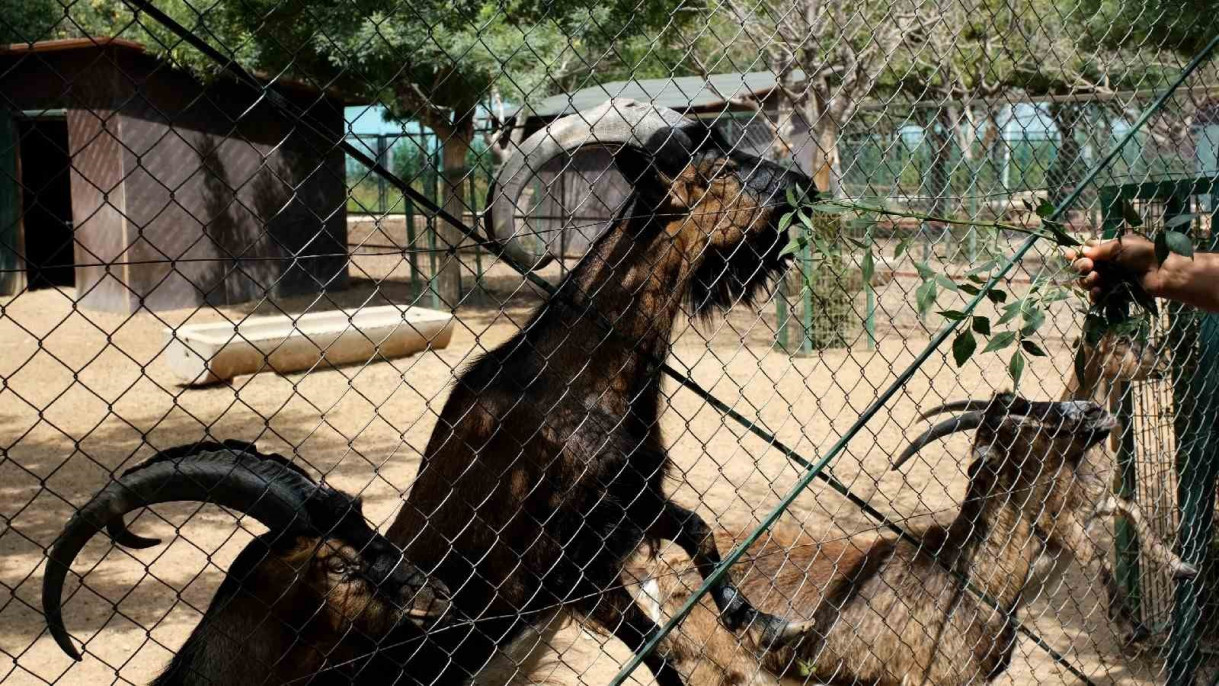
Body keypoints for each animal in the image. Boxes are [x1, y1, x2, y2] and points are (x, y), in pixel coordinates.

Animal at [385, 98, 814, 686]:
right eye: (720, 170)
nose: (805, 184)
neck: (577, 381)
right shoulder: (565, 571)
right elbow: (653, 642)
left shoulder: (633, 500)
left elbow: (699, 530)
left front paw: (762, 622)